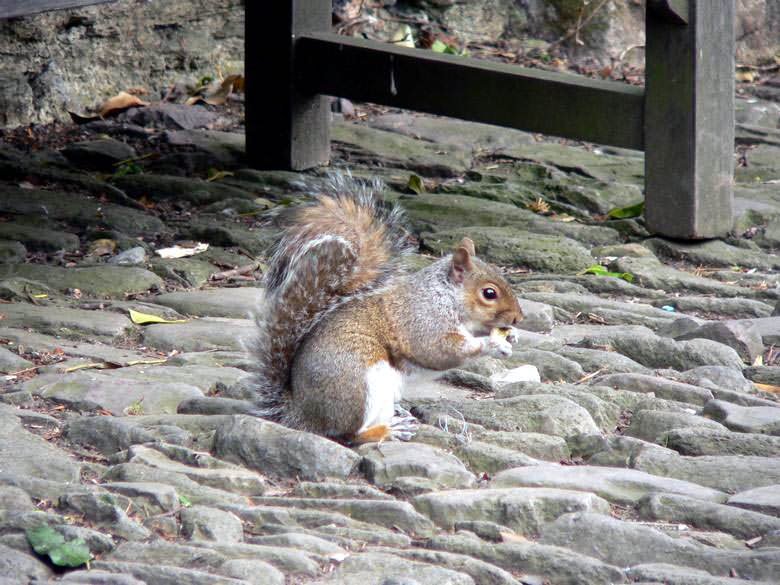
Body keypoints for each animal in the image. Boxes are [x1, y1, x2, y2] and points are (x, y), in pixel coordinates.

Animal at [250, 173, 523, 444]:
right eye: (489, 293)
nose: (519, 318)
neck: (445, 296)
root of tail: (302, 414)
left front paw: (511, 336)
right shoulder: (422, 320)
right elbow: (440, 350)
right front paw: (492, 344)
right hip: (359, 386)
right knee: (350, 435)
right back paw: (390, 430)